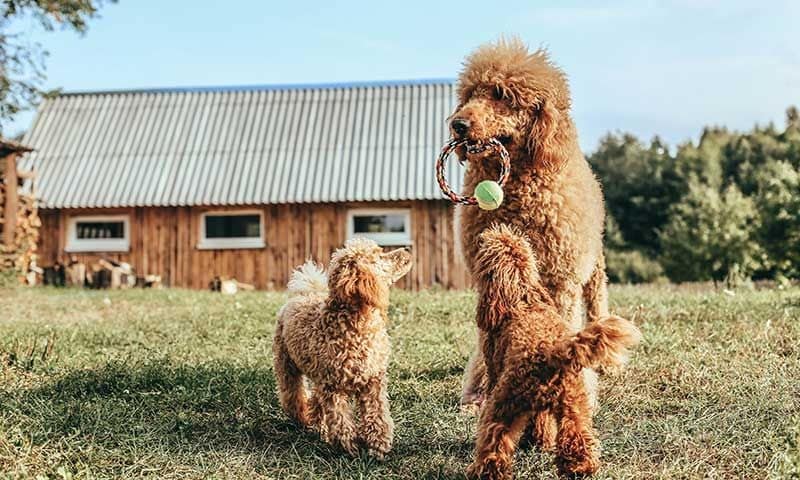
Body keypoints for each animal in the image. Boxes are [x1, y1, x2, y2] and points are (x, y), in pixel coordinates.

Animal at [276, 238, 412, 460]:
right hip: (287, 364)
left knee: (316, 401)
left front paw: (378, 446)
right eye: (379, 255)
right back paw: (302, 418)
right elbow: (341, 422)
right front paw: (350, 448)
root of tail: (305, 293)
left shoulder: (373, 383)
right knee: (293, 394)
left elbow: (377, 416)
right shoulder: (334, 389)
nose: (408, 249)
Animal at [454, 37, 608, 418]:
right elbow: (488, 341)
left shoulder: (561, 279)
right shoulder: (489, 279)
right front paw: (480, 396)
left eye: (501, 94)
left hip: (594, 266)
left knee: (598, 301)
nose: (458, 124)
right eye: (470, 94)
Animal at [466, 226, 640, 480]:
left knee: (495, 438)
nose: (480, 237)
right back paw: (580, 468)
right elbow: (542, 421)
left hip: (505, 401)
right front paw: (539, 442)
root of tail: (550, 352)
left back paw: (483, 471)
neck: (522, 298)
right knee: (576, 435)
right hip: (573, 403)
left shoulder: (494, 371)